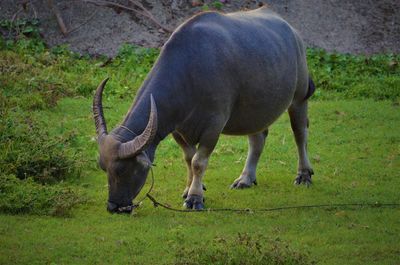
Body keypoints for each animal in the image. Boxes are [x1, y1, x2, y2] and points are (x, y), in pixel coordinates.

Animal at [94, 5, 316, 212]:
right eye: (103, 167)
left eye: (123, 170)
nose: (114, 206)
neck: (189, 74)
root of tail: (293, 33)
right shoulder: (177, 129)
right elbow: (188, 158)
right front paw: (189, 190)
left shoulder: (213, 127)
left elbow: (198, 162)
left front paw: (194, 198)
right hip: (254, 110)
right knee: (257, 139)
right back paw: (245, 178)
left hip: (299, 98)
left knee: (300, 134)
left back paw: (304, 175)